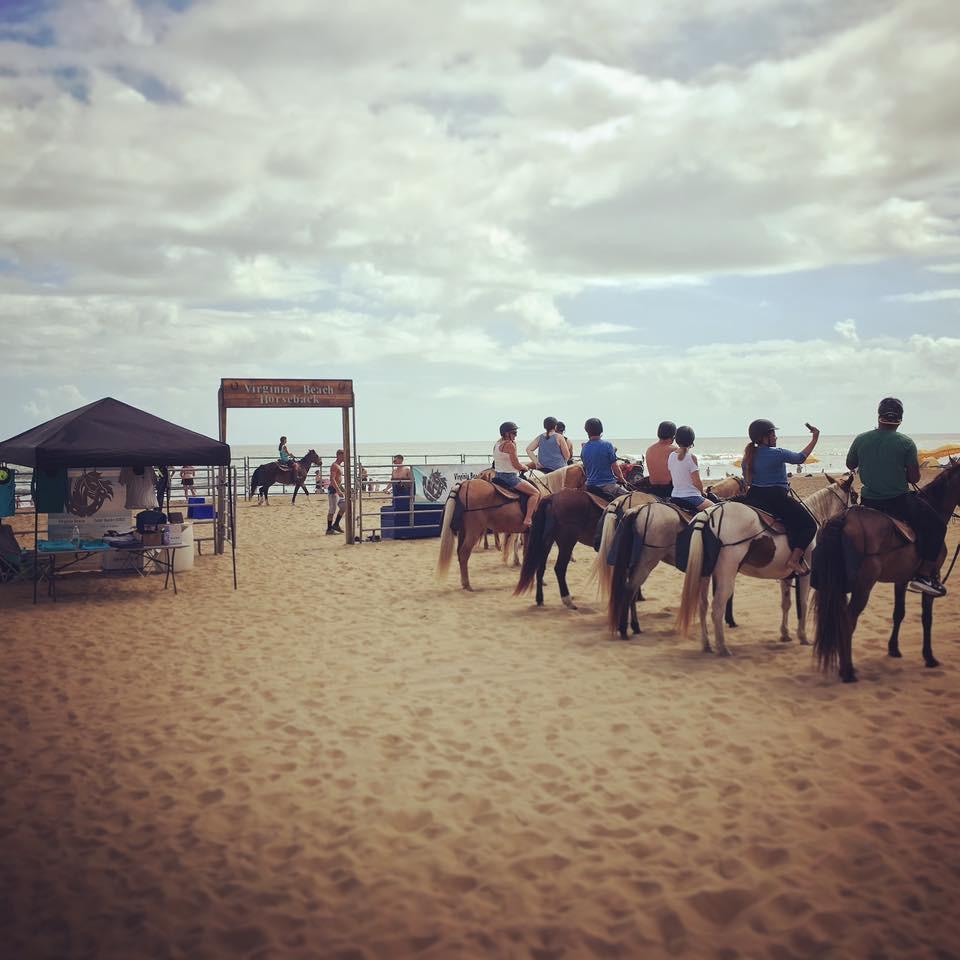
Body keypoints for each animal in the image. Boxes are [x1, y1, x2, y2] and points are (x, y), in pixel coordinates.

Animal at [672, 474, 860, 656]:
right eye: (854, 495)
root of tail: (708, 515)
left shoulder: (786, 576)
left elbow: (786, 603)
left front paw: (785, 633)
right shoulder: (805, 575)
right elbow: (803, 603)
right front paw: (803, 636)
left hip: (705, 574)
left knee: (702, 606)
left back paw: (707, 644)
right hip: (726, 574)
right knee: (717, 608)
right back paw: (722, 647)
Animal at [808, 460, 960, 680]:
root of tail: (843, 518)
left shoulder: (901, 578)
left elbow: (899, 613)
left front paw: (894, 648)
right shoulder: (933, 575)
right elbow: (927, 618)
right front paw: (929, 657)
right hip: (863, 585)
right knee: (848, 620)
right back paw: (847, 671)